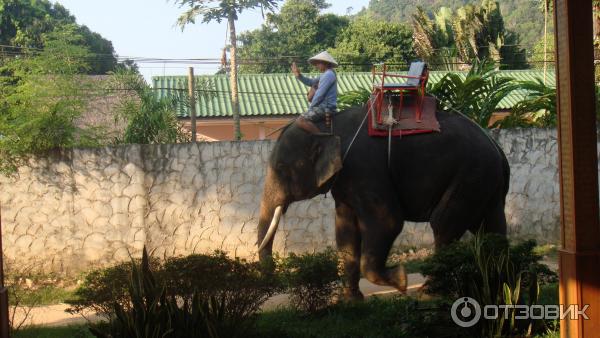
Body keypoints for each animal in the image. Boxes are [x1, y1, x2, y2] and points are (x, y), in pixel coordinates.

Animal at [255, 104, 508, 300]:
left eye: (281, 169)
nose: (274, 280)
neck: (328, 128)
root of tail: (496, 146)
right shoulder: (346, 180)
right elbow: (345, 232)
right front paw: (348, 301)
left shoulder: (365, 168)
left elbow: (387, 222)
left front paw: (401, 280)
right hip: (486, 183)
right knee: (491, 227)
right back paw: (499, 283)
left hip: (470, 174)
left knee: (443, 224)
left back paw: (430, 292)